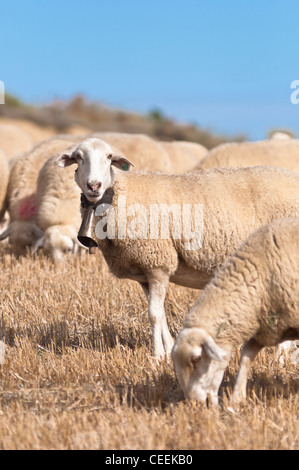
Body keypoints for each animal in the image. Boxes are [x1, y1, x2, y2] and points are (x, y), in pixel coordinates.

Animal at [57, 138, 299, 358]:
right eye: (79, 157)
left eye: (109, 157)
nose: (94, 186)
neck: (119, 196)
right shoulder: (145, 272)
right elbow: (161, 313)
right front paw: (168, 350)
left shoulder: (158, 264)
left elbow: (154, 314)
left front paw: (156, 355)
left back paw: (281, 355)